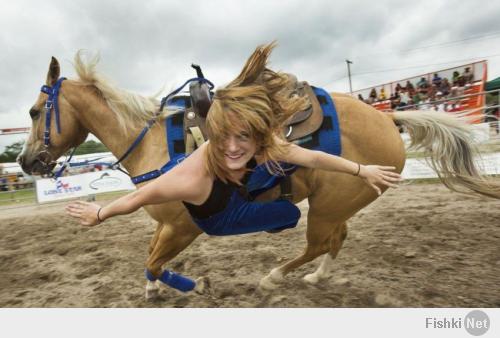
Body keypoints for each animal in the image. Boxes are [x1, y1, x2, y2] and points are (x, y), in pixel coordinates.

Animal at [17, 52, 498, 298]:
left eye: (36, 111)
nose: (25, 162)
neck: (156, 143)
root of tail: (389, 119)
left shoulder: (183, 227)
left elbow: (154, 260)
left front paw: (192, 284)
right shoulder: (166, 223)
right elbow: (149, 258)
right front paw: (154, 290)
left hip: (327, 206)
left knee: (319, 242)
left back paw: (274, 277)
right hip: (338, 203)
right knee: (336, 240)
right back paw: (316, 278)